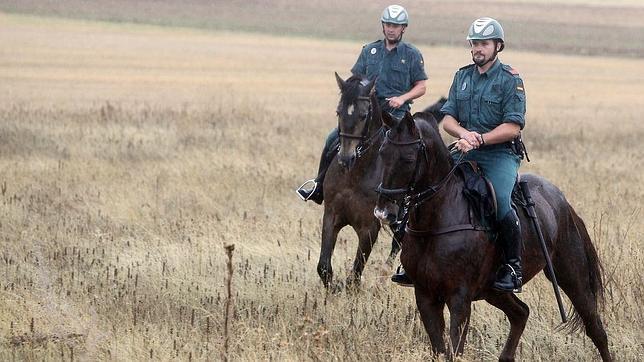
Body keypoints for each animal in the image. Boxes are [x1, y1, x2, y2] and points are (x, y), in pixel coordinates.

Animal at [372, 111, 608, 360]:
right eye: (382, 153)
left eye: (408, 159)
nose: (383, 212)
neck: (436, 221)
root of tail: (561, 201)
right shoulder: (425, 296)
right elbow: (440, 349)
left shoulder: (459, 299)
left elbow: (455, 350)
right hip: (493, 290)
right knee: (521, 313)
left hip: (572, 276)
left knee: (595, 329)